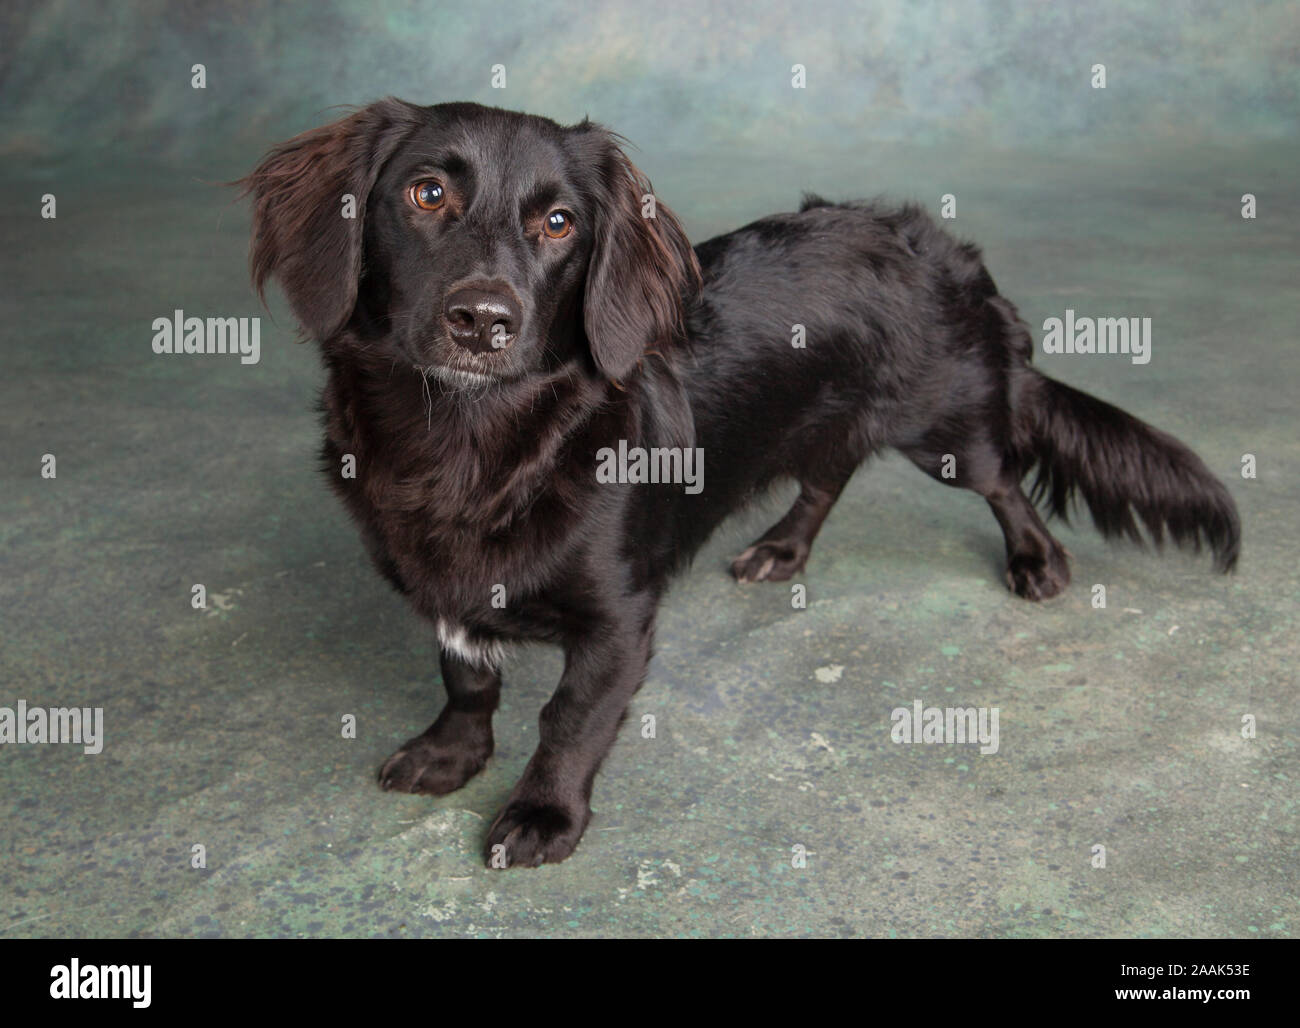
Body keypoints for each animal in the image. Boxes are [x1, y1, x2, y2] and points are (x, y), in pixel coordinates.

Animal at [241, 98, 1237, 868]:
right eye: (427, 192)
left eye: (559, 223)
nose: (483, 320)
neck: (474, 441)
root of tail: (939, 243)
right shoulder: (446, 589)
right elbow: (464, 673)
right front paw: (451, 753)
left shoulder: (619, 621)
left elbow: (570, 718)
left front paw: (542, 814)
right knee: (830, 472)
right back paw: (782, 549)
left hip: (950, 428)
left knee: (1004, 481)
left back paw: (1036, 562)